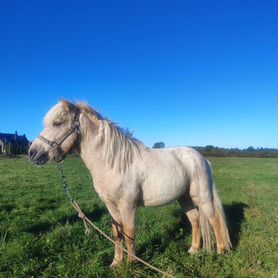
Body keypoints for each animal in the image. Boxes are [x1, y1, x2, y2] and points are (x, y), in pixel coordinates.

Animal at [29, 100, 231, 268]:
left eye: (57, 123)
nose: (32, 153)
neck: (114, 163)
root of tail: (203, 159)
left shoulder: (128, 206)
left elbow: (129, 234)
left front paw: (131, 263)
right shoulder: (111, 206)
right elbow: (117, 233)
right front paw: (116, 263)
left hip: (202, 196)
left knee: (214, 219)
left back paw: (221, 251)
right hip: (184, 198)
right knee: (195, 219)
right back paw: (193, 250)